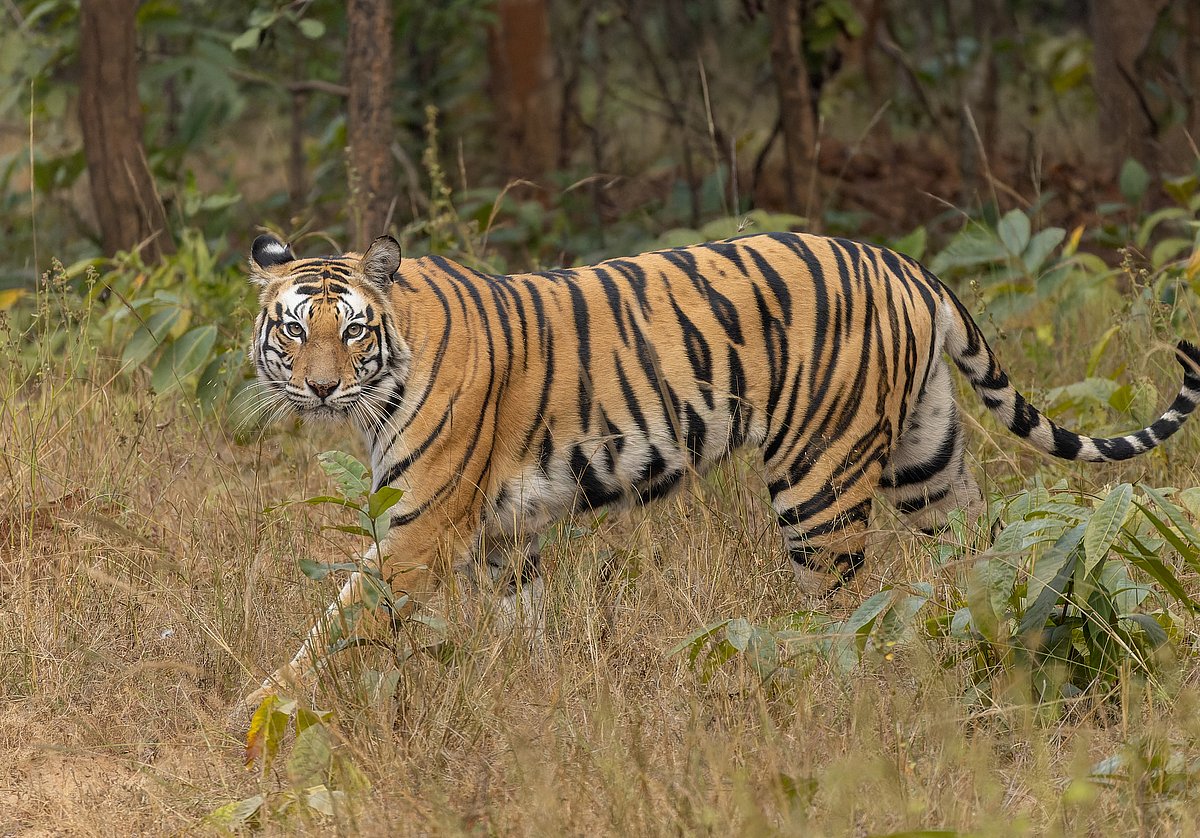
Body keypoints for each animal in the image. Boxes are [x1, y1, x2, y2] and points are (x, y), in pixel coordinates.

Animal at [241, 230, 1200, 708]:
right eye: (293, 328)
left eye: (351, 330)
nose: (320, 386)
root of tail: (902, 263)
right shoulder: (507, 539)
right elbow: (526, 628)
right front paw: (537, 695)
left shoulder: (420, 528)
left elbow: (337, 623)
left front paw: (261, 710)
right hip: (928, 461)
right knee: (979, 558)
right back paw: (992, 651)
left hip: (820, 483)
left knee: (841, 613)